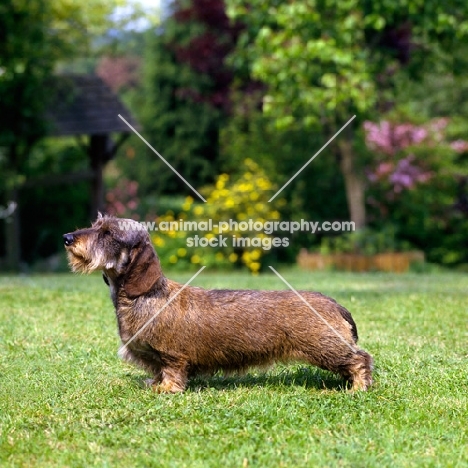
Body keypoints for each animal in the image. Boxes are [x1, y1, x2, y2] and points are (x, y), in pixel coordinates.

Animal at [65, 215, 372, 392]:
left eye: (108, 233)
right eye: (95, 225)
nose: (67, 237)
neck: (144, 296)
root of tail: (334, 303)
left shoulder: (173, 356)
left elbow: (172, 372)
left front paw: (166, 388)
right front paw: (155, 383)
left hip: (326, 348)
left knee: (361, 359)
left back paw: (358, 387)